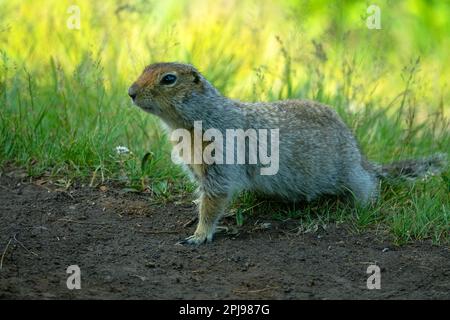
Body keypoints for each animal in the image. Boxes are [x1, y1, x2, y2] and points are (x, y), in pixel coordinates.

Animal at [128, 61, 448, 244]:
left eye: (168, 79)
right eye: (143, 69)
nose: (130, 92)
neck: (191, 122)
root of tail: (361, 157)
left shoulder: (221, 155)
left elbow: (215, 196)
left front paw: (199, 234)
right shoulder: (195, 164)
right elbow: (203, 194)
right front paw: (194, 214)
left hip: (348, 173)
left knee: (369, 185)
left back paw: (362, 205)